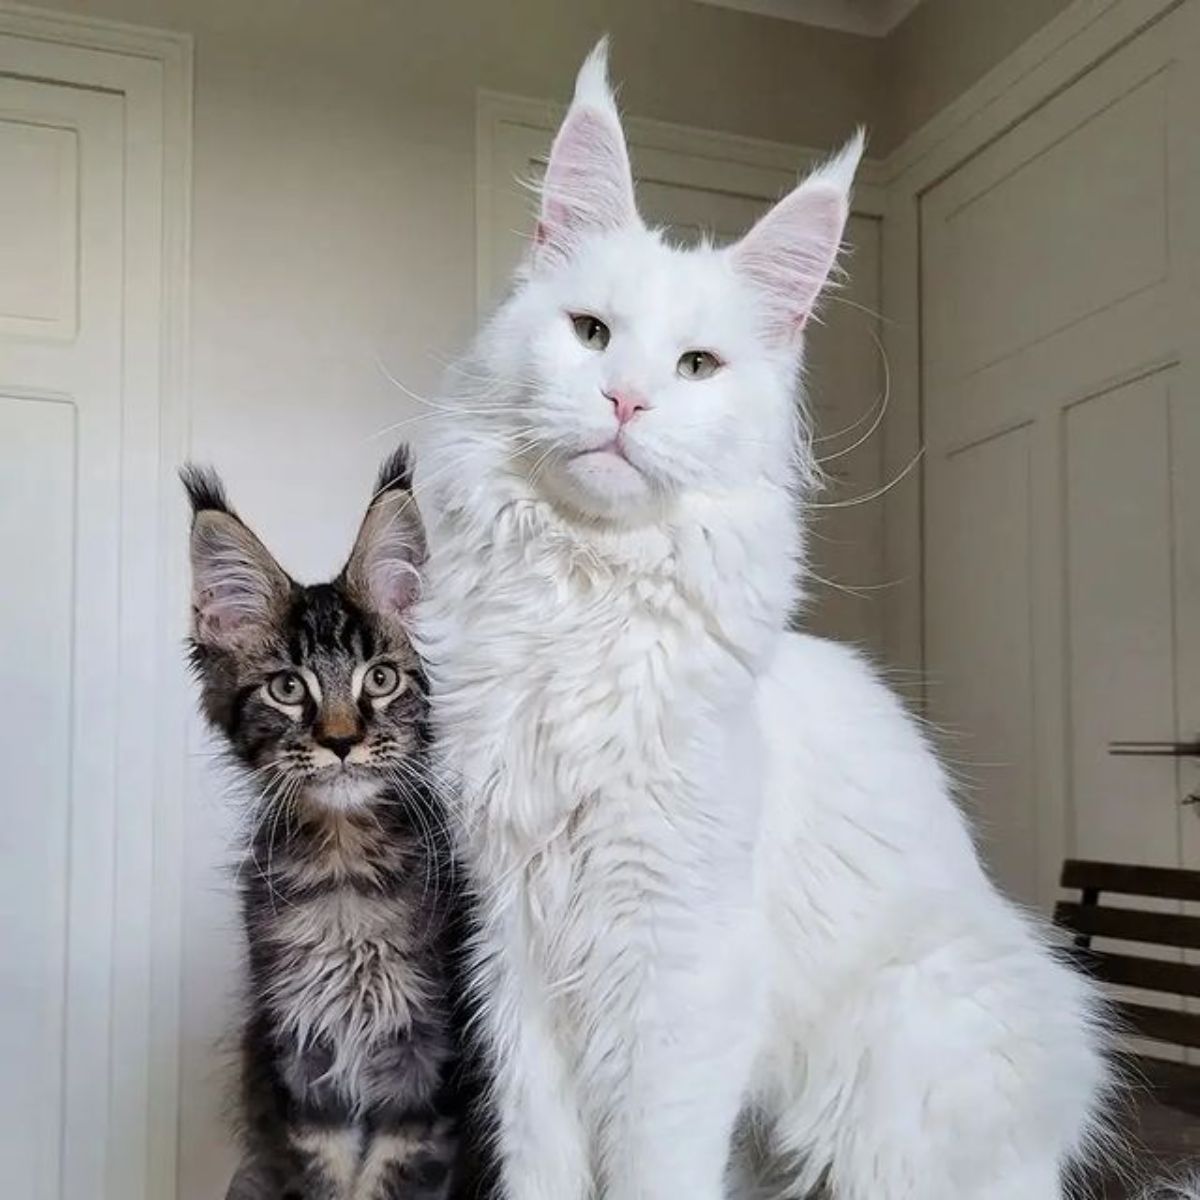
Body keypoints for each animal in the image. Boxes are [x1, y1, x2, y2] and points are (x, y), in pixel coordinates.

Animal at [186, 451, 463, 1200]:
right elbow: (326, 1179)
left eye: (382, 679)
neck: (345, 874)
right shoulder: (302, 1068)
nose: (341, 741)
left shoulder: (426, 1070)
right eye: (288, 688)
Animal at [417, 39, 1108, 1200]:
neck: (585, 606)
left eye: (697, 366)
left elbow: (652, 1169)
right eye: (591, 334)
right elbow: (545, 1164)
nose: (626, 401)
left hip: (911, 1056)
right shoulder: (516, 958)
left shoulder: (684, 973)